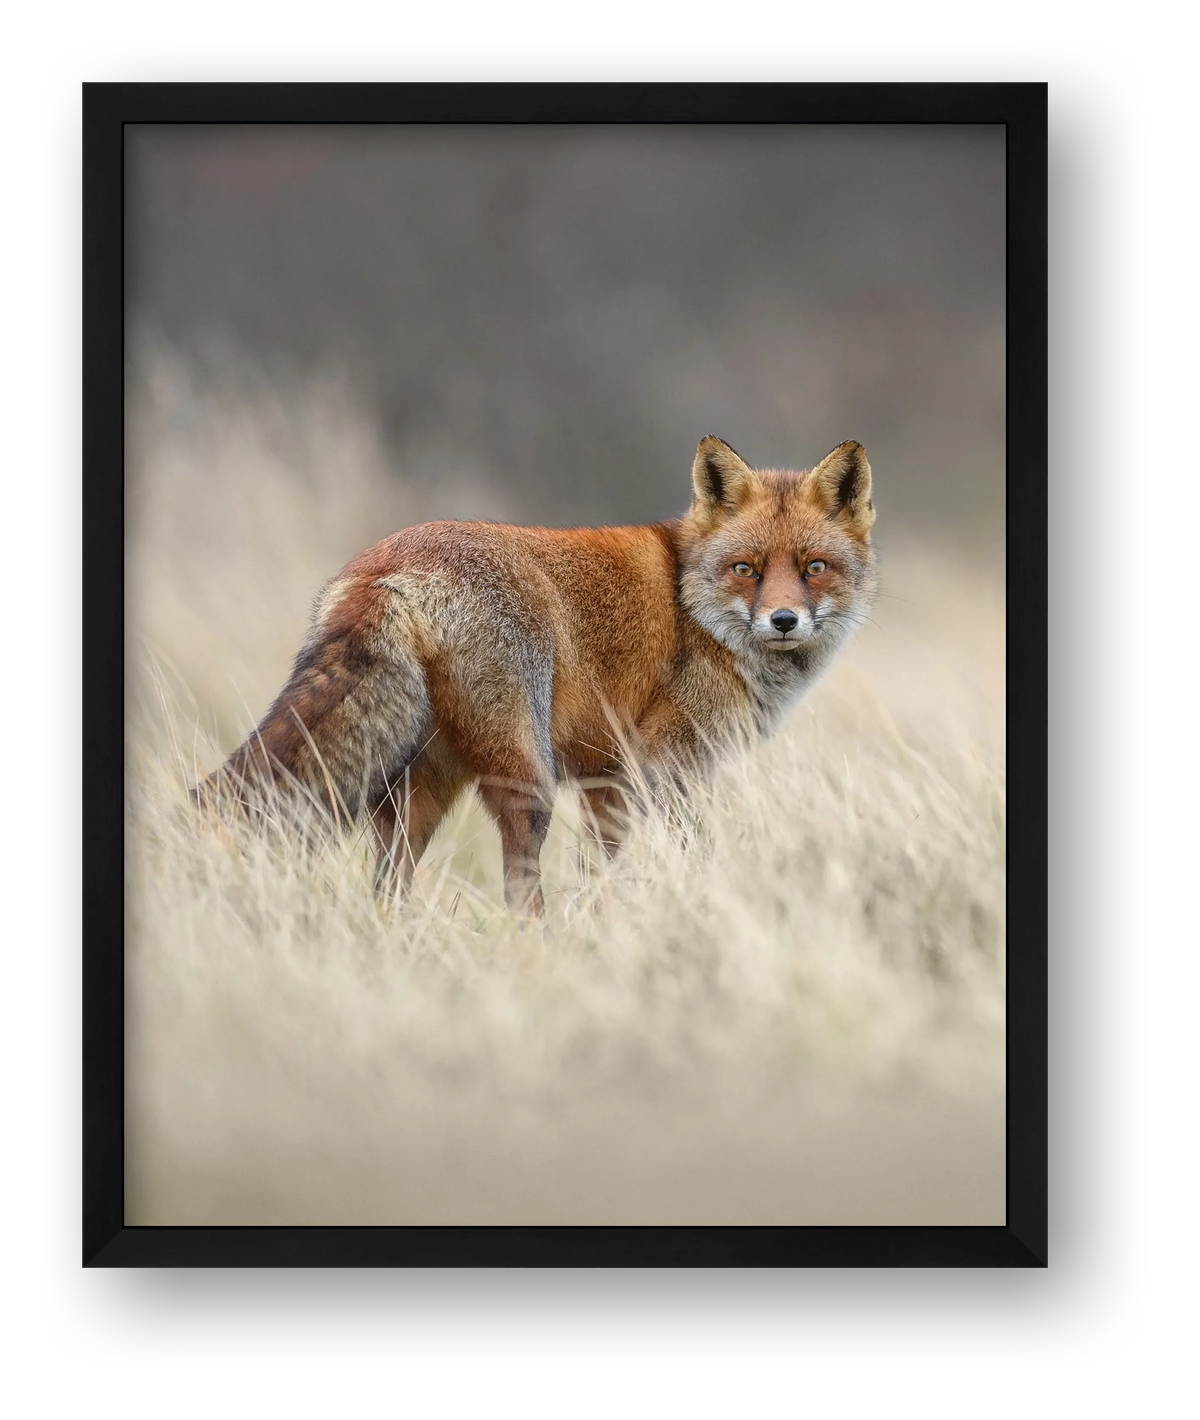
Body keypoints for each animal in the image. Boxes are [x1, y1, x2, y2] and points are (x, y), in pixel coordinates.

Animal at [196, 436, 877, 915]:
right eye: (747, 569)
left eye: (814, 567)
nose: (784, 620)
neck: (694, 607)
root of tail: (386, 567)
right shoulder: (662, 765)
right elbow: (679, 854)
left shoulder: (610, 781)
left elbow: (603, 871)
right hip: (529, 778)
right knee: (519, 885)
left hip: (422, 790)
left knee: (391, 875)